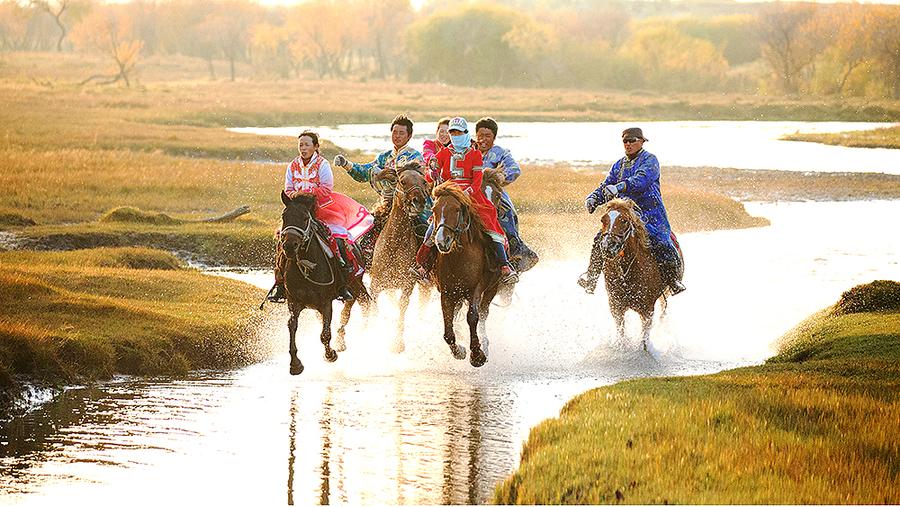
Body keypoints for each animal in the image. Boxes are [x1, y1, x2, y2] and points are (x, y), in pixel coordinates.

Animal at [278, 192, 370, 376]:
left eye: (305, 217)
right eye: (284, 216)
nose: (289, 246)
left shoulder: (326, 302)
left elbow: (325, 333)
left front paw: (330, 354)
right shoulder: (294, 302)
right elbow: (292, 326)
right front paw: (295, 363)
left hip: (355, 284)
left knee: (355, 304)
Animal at [368, 163, 434, 354]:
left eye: (423, 181)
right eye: (402, 181)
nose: (418, 201)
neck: (394, 246)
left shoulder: (407, 284)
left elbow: (402, 306)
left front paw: (397, 344)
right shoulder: (375, 285)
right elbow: (375, 308)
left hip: (424, 286)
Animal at [428, 181, 500, 368]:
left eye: (456, 209)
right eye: (434, 209)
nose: (442, 241)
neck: (459, 256)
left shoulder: (475, 289)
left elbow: (473, 317)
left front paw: (477, 354)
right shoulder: (447, 293)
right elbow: (448, 329)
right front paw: (459, 351)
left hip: (492, 289)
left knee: (483, 314)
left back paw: (485, 344)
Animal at [596, 198, 668, 354]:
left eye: (624, 220)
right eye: (603, 219)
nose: (608, 246)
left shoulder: (647, 309)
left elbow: (644, 339)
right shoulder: (616, 306)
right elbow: (621, 333)